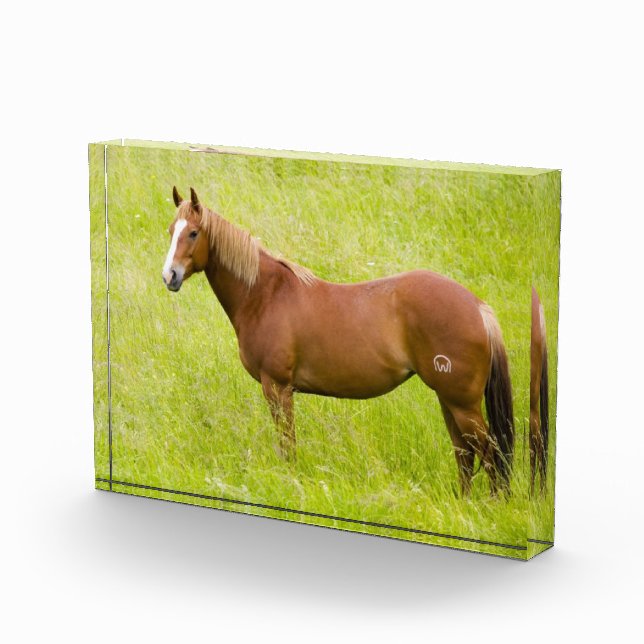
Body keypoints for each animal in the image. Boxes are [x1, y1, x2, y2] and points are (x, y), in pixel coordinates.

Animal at [162, 187, 515, 495]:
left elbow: (287, 444)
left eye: (193, 233)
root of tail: (477, 307)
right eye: (170, 231)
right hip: (449, 400)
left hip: (462, 404)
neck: (266, 294)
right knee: (465, 454)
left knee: (489, 455)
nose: (170, 276)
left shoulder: (277, 387)